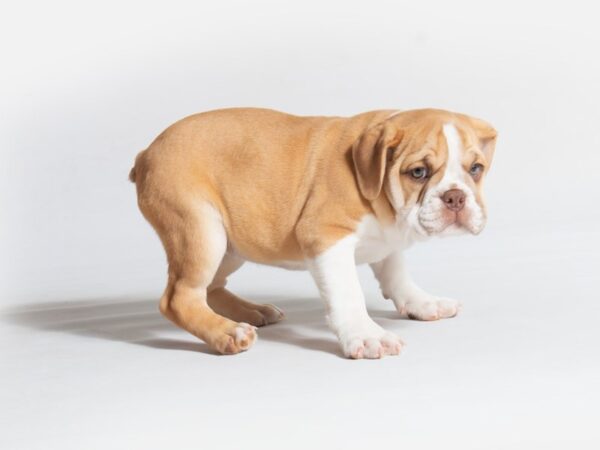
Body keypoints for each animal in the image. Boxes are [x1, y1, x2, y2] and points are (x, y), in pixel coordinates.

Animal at [130, 108, 496, 358]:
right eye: (418, 172)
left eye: (476, 169)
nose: (456, 197)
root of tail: (146, 153)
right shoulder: (327, 239)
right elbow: (348, 294)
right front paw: (366, 335)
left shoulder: (388, 241)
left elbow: (397, 275)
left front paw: (422, 303)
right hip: (201, 231)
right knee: (180, 296)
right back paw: (227, 333)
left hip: (231, 242)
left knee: (211, 287)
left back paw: (250, 312)